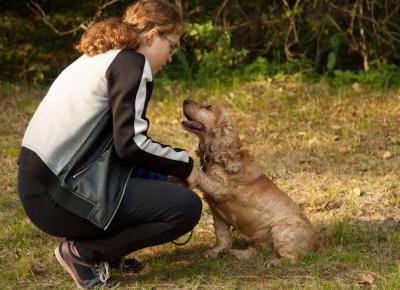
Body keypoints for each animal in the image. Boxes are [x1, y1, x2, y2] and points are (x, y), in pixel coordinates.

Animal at [181, 99, 322, 266]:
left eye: (209, 107)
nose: (185, 100)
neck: (217, 159)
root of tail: (317, 244)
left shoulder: (221, 189)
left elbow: (201, 176)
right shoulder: (217, 211)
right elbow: (222, 235)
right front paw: (216, 252)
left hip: (282, 229)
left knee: (291, 258)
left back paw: (274, 262)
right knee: (256, 252)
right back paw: (233, 253)